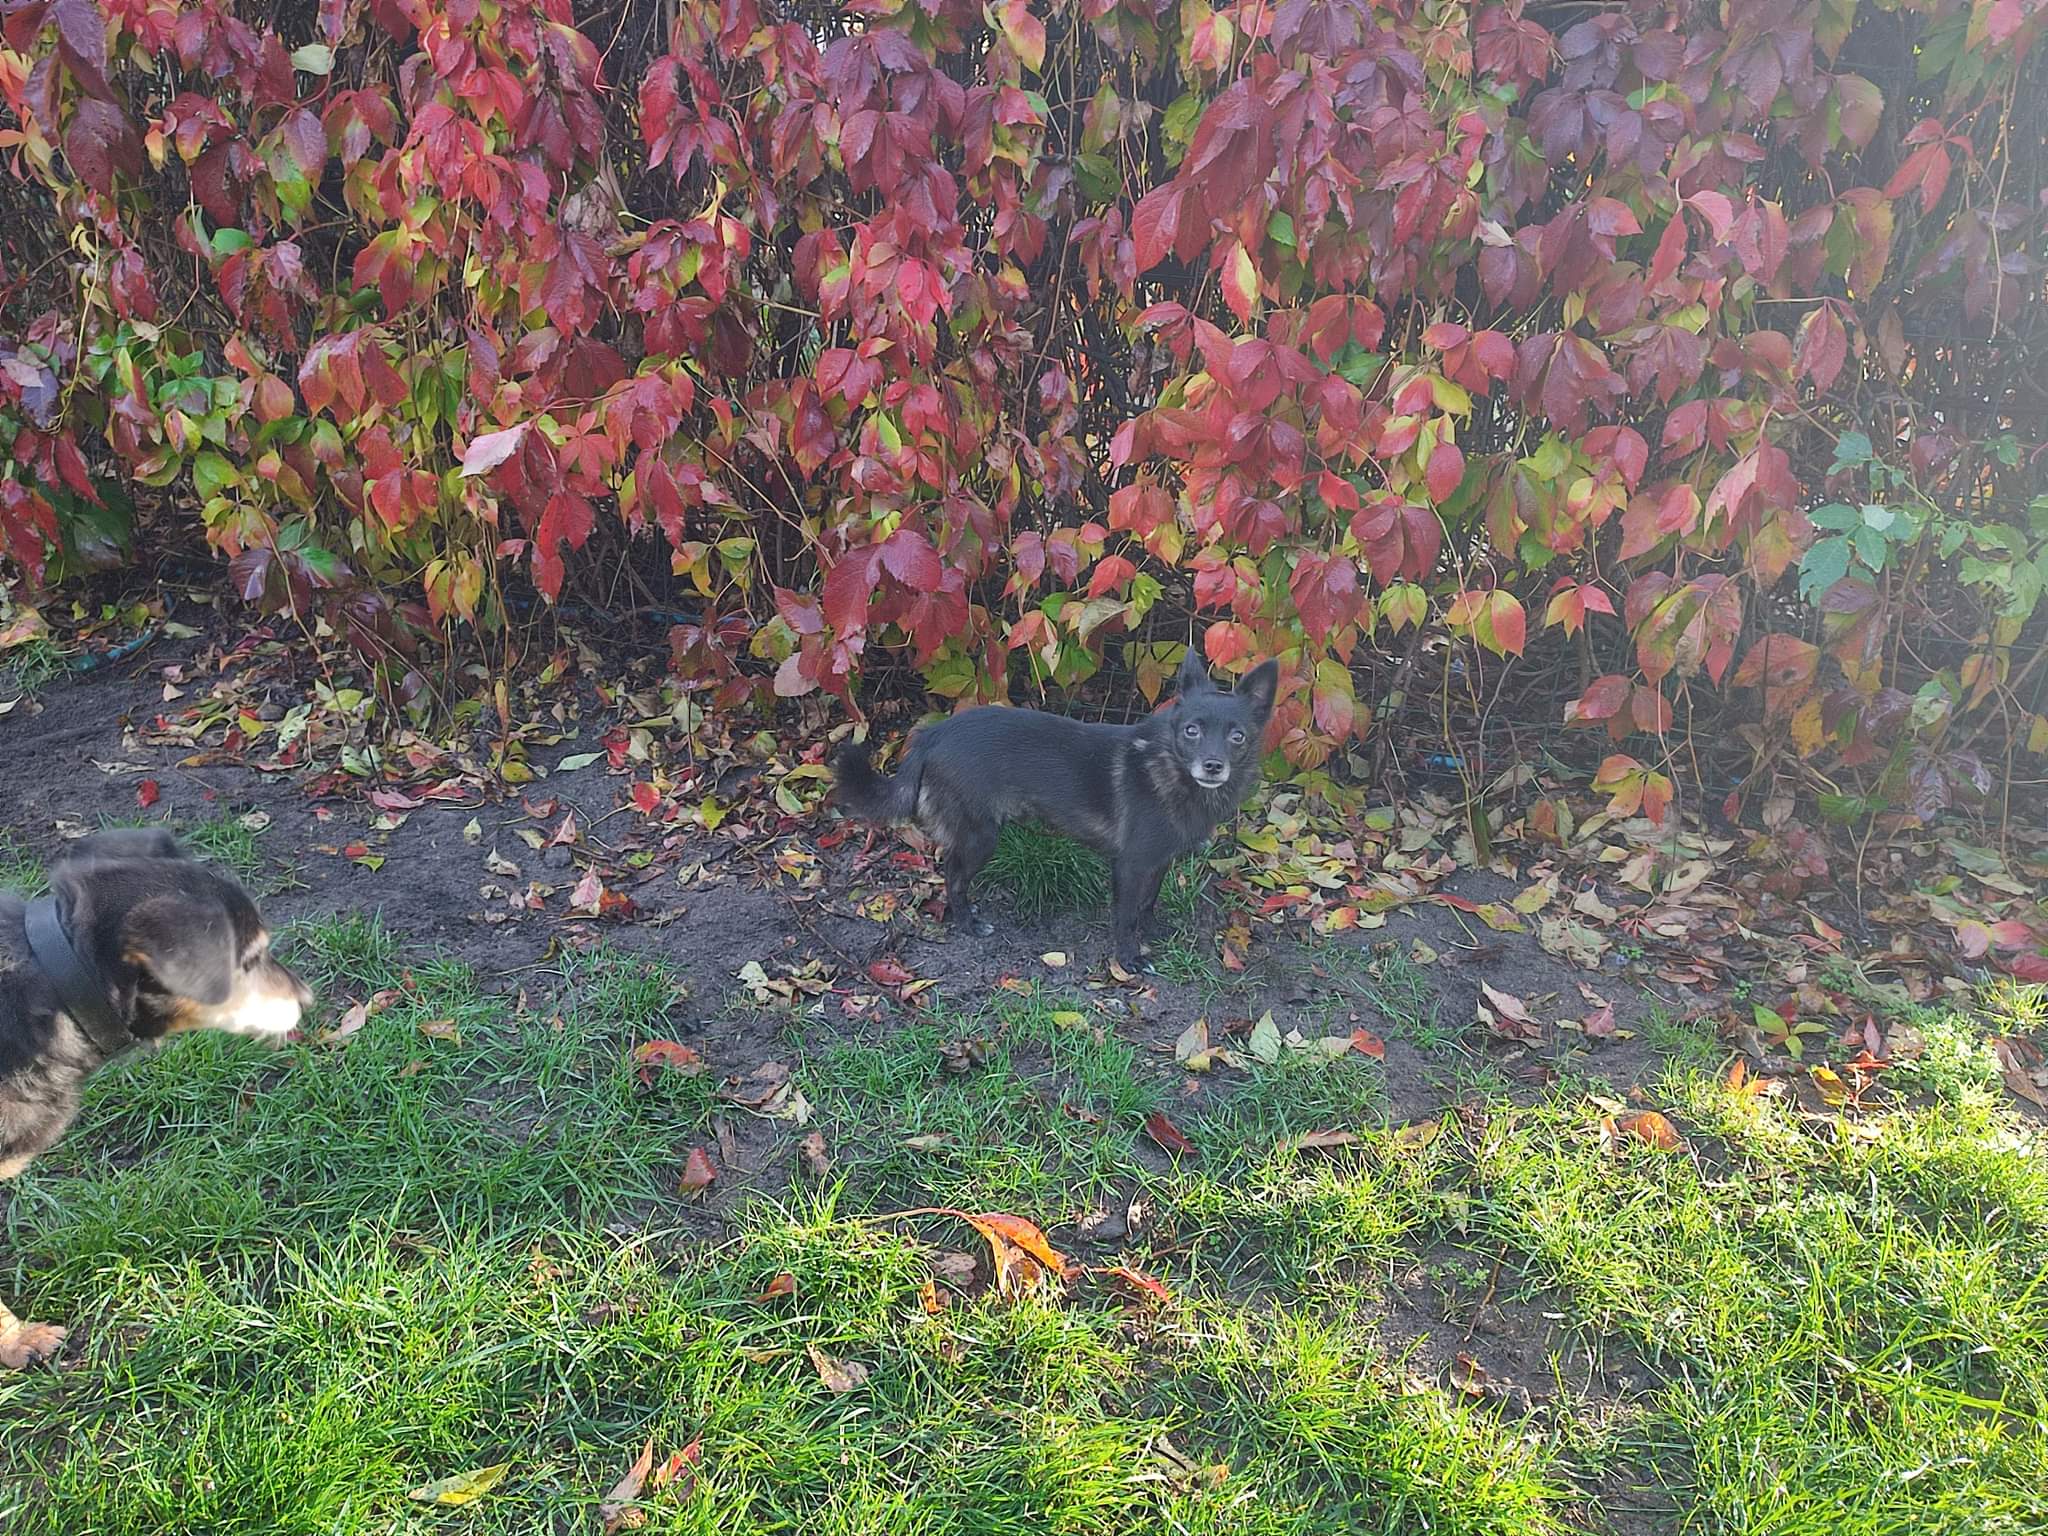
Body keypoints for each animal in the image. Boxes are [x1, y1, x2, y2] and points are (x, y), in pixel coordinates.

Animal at [831, 646, 1279, 966]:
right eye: (1191, 731)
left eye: (1237, 736)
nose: (1213, 765)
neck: (1171, 770)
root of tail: (932, 736)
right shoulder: (1130, 865)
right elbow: (1125, 915)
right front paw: (1129, 958)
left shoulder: (1158, 861)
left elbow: (1148, 902)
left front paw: (1152, 930)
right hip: (980, 837)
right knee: (953, 875)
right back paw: (968, 922)